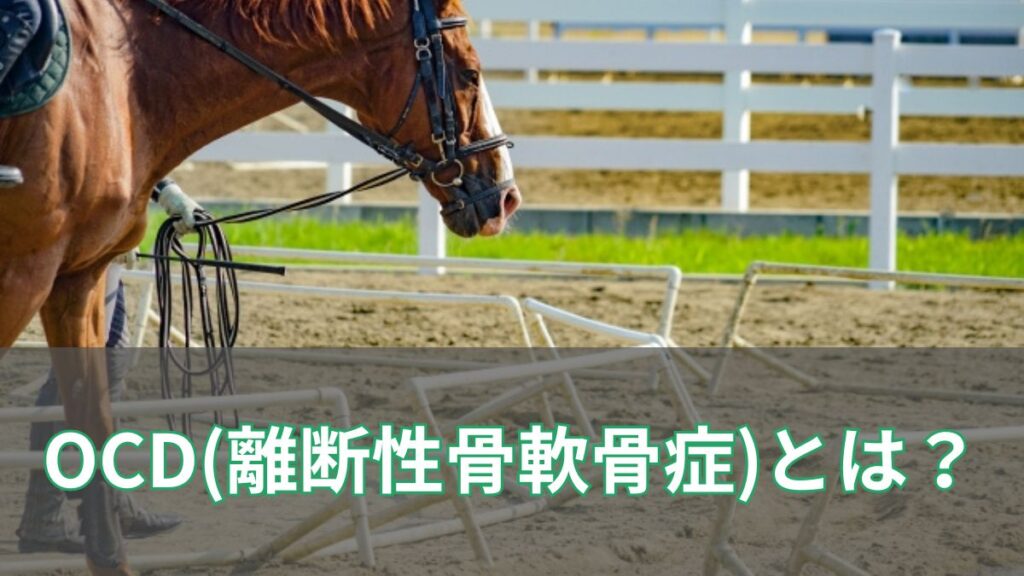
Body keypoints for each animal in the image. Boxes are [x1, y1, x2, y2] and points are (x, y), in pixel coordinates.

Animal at [0, 0, 520, 573]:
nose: (506, 196)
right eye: (470, 74)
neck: (126, 80)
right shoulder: (23, 273)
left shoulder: (79, 279)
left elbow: (90, 418)